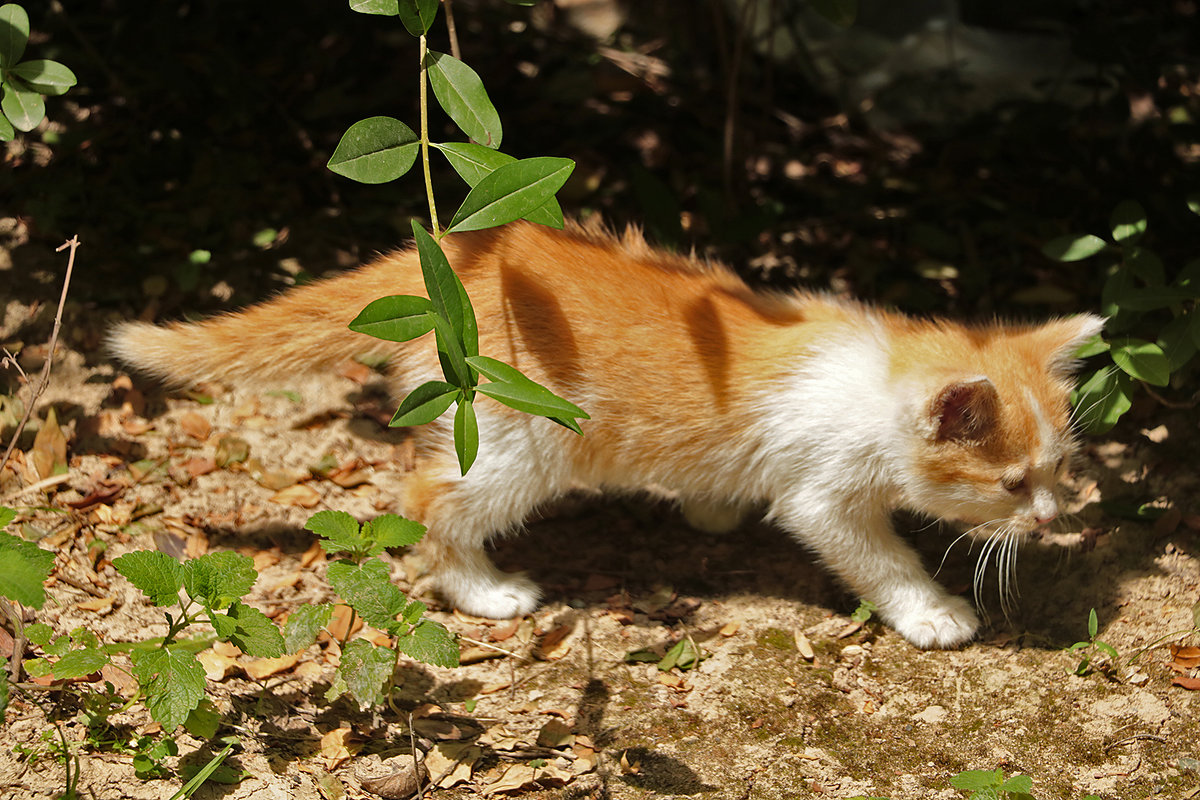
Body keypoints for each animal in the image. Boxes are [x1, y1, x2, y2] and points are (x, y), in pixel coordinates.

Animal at [108, 220, 1099, 652]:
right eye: (1012, 484)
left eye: (1060, 470)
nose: (1053, 521)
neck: (878, 377)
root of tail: (453, 254)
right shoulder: (826, 494)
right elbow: (877, 555)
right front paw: (931, 611)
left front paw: (710, 508)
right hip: (521, 440)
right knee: (429, 496)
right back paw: (483, 591)